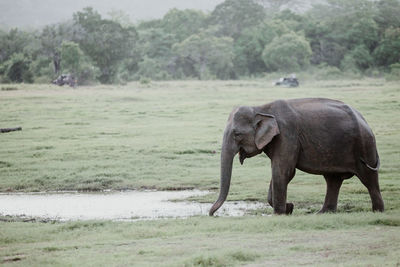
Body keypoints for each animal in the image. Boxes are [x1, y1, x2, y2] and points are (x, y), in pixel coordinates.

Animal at [209, 98, 384, 216]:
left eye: (237, 134)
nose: (211, 214)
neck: (261, 107)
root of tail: (364, 120)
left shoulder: (287, 135)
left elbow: (282, 170)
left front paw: (280, 213)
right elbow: (281, 171)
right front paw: (289, 208)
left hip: (365, 146)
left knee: (369, 178)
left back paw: (377, 212)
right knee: (333, 180)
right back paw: (323, 213)